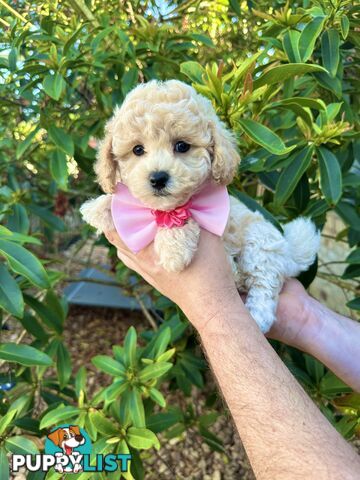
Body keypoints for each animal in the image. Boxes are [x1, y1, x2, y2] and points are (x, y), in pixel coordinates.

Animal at [80, 79, 320, 334]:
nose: (158, 178)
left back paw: (257, 316)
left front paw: (174, 250)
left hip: (260, 244)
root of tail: (289, 251)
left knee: (264, 283)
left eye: (182, 146)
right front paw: (99, 207)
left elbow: (181, 217)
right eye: (137, 150)